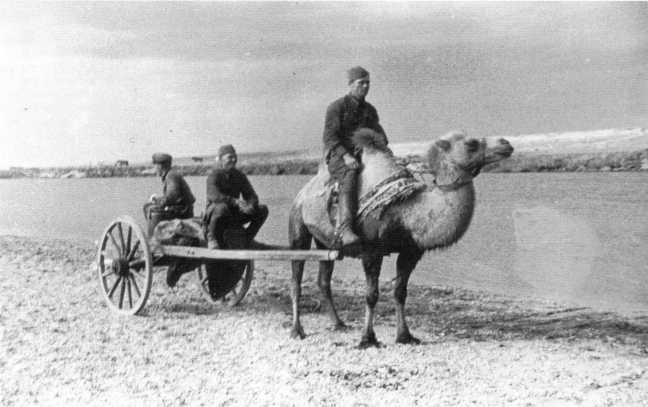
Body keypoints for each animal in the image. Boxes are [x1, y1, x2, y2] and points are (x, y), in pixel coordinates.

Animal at [288, 130, 512, 348]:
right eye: (471, 143)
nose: (506, 144)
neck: (407, 210)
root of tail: (303, 192)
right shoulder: (371, 250)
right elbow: (371, 295)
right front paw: (367, 339)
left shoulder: (411, 251)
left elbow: (400, 292)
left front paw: (405, 336)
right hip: (297, 224)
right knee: (296, 280)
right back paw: (297, 330)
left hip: (325, 243)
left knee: (324, 280)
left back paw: (338, 323)